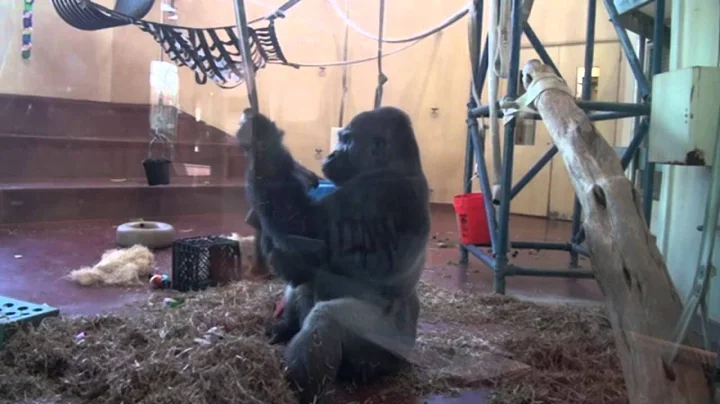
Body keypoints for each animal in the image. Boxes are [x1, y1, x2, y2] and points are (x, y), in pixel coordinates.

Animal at [236, 106, 430, 403]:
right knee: (306, 281)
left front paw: (259, 135)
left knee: (327, 318)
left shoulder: (375, 192)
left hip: (386, 352)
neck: (396, 164)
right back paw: (285, 327)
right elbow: (300, 253)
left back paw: (302, 390)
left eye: (347, 141)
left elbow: (304, 225)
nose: (330, 155)